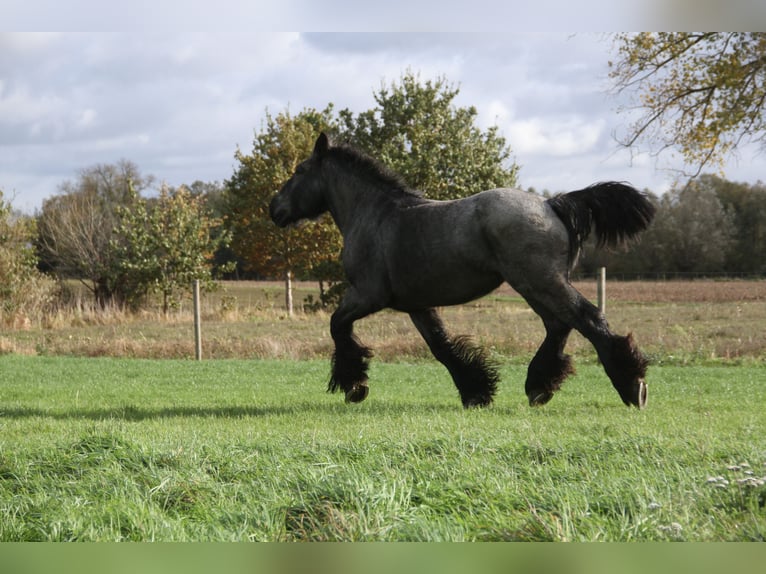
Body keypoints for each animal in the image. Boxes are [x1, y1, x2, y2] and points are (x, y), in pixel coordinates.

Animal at [270, 133, 655, 409]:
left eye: (299, 171)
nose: (274, 208)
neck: (374, 214)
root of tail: (551, 203)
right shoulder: (417, 305)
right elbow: (442, 347)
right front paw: (476, 391)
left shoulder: (367, 295)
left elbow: (338, 326)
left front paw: (354, 385)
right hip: (536, 285)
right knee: (559, 326)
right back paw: (539, 387)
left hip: (539, 282)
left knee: (586, 319)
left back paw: (631, 385)